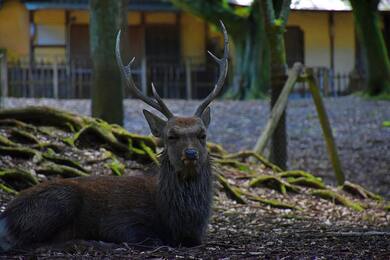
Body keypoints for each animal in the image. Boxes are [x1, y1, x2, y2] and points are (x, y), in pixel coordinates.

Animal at [0, 21, 229, 253]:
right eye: (171, 136)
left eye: (202, 134)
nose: (191, 154)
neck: (175, 220)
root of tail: (5, 217)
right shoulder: (125, 222)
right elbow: (148, 238)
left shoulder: (197, 235)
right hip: (59, 201)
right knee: (28, 244)